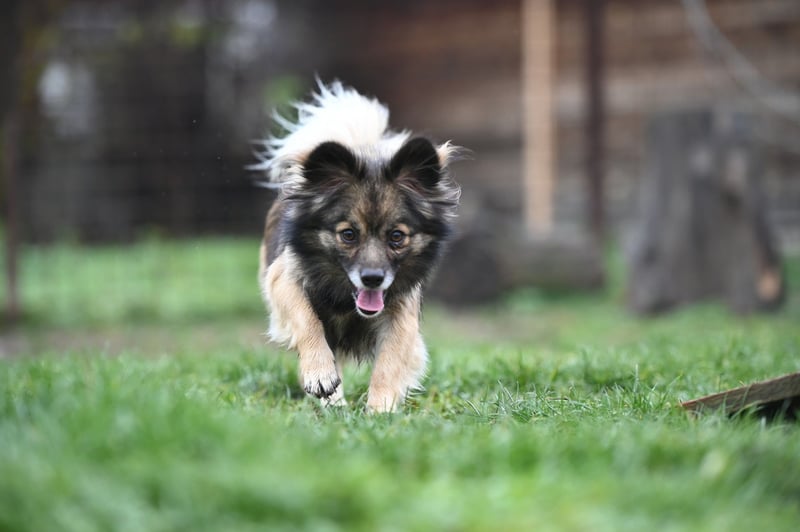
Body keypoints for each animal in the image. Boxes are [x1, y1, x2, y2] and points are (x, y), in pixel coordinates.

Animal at [254, 81, 460, 412]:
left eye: (397, 236)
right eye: (348, 234)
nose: (373, 279)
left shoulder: (401, 310)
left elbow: (391, 359)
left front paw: (379, 411)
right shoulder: (283, 279)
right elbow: (307, 319)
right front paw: (320, 376)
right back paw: (332, 400)